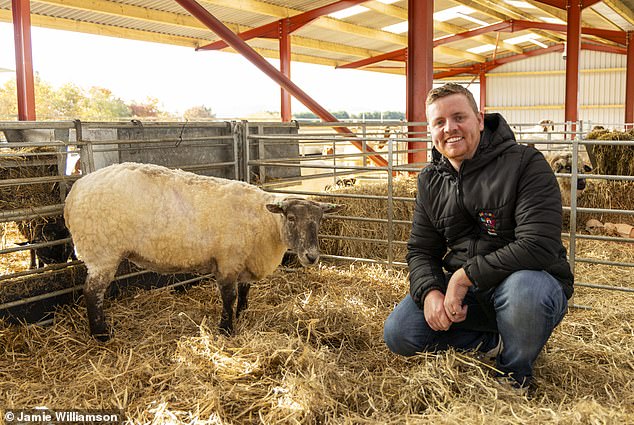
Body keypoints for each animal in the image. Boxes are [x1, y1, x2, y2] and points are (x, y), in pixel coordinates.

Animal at [61, 162, 344, 342]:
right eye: (292, 218)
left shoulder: (243, 259)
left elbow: (244, 291)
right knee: (92, 293)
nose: (312, 256)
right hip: (102, 252)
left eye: (319, 221)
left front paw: (242, 313)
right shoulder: (227, 260)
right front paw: (226, 328)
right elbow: (229, 296)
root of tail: (73, 194)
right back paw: (101, 334)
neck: (266, 223)